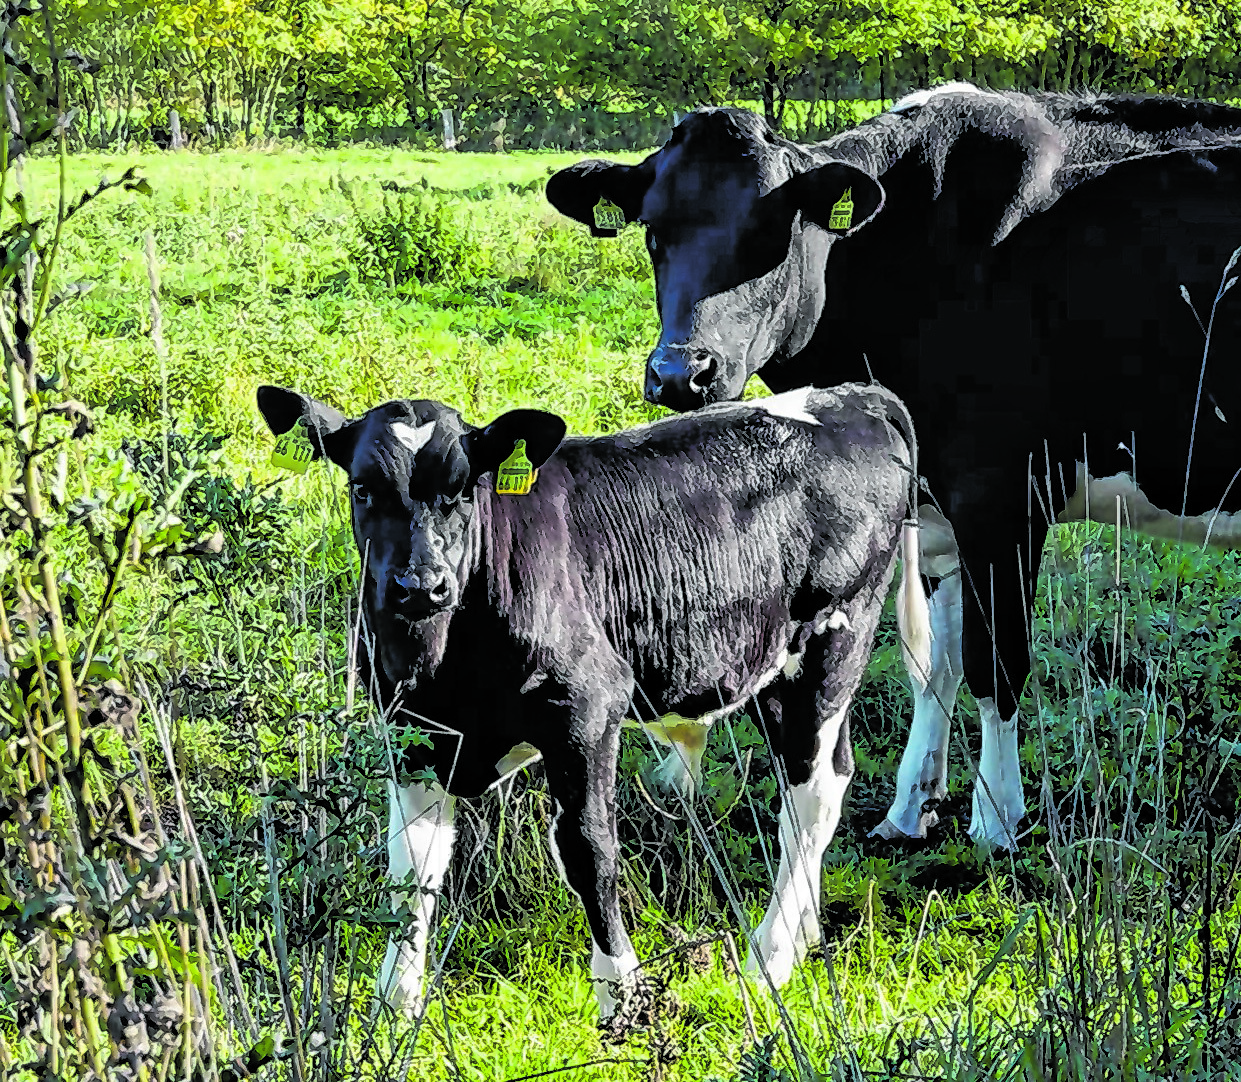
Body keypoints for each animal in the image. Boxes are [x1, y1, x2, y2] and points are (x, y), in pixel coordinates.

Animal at [256, 381, 929, 1018]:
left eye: (465, 490)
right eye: (363, 489)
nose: (421, 585)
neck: (443, 660)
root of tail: (851, 397)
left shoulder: (587, 710)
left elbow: (589, 851)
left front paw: (622, 997)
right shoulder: (412, 735)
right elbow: (411, 871)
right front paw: (395, 1004)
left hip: (832, 642)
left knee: (810, 798)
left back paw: (771, 958)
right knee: (827, 780)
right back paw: (806, 931)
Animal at [546, 83, 1241, 848]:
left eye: (770, 230)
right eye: (652, 229)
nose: (680, 372)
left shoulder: (1000, 495)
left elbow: (995, 662)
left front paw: (995, 819)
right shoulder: (936, 506)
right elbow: (934, 663)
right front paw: (911, 807)